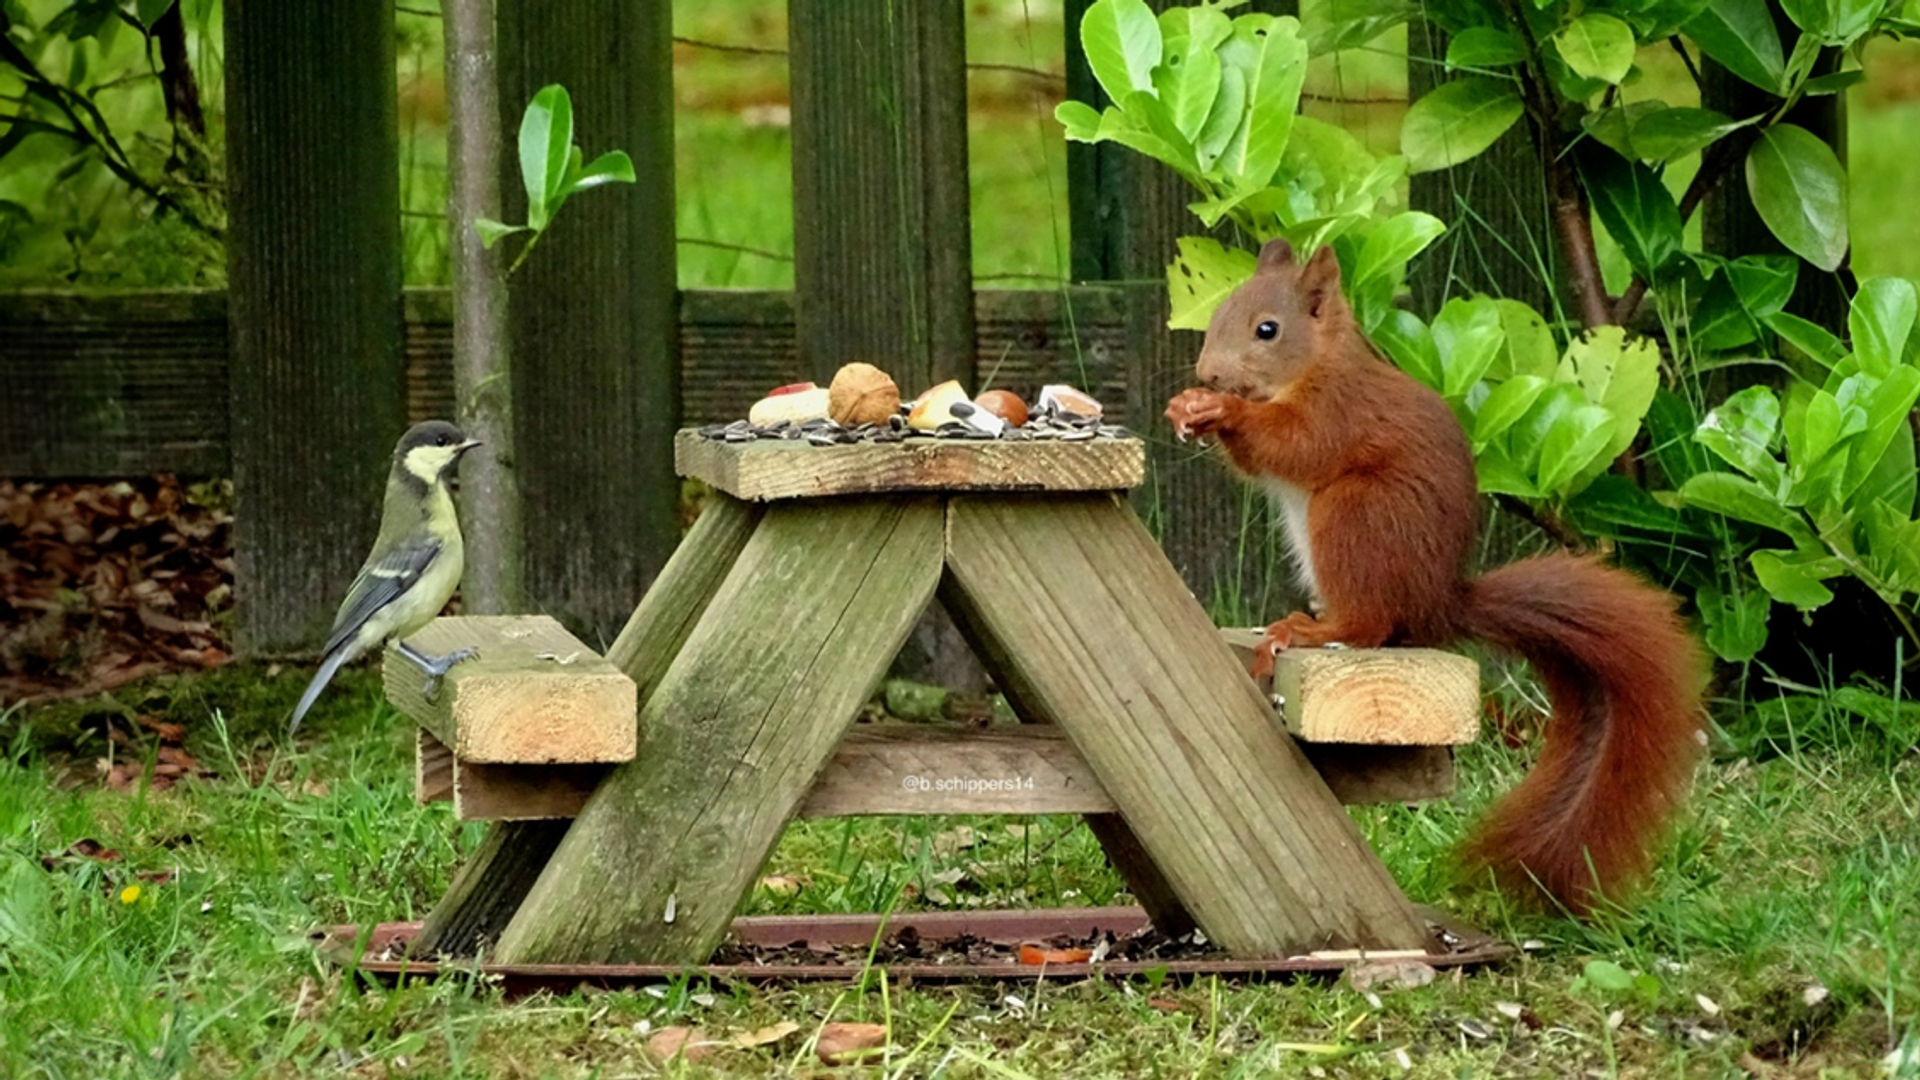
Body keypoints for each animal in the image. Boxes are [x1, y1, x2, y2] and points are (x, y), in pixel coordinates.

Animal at [1159, 237, 1704, 907]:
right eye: (1219, 312)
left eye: (1268, 329)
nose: (1208, 373)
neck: (1314, 367)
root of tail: (1440, 602)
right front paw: (1186, 408)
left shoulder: (1337, 411)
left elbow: (1297, 446)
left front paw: (1224, 410)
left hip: (1355, 514)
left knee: (1370, 624)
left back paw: (1312, 630)